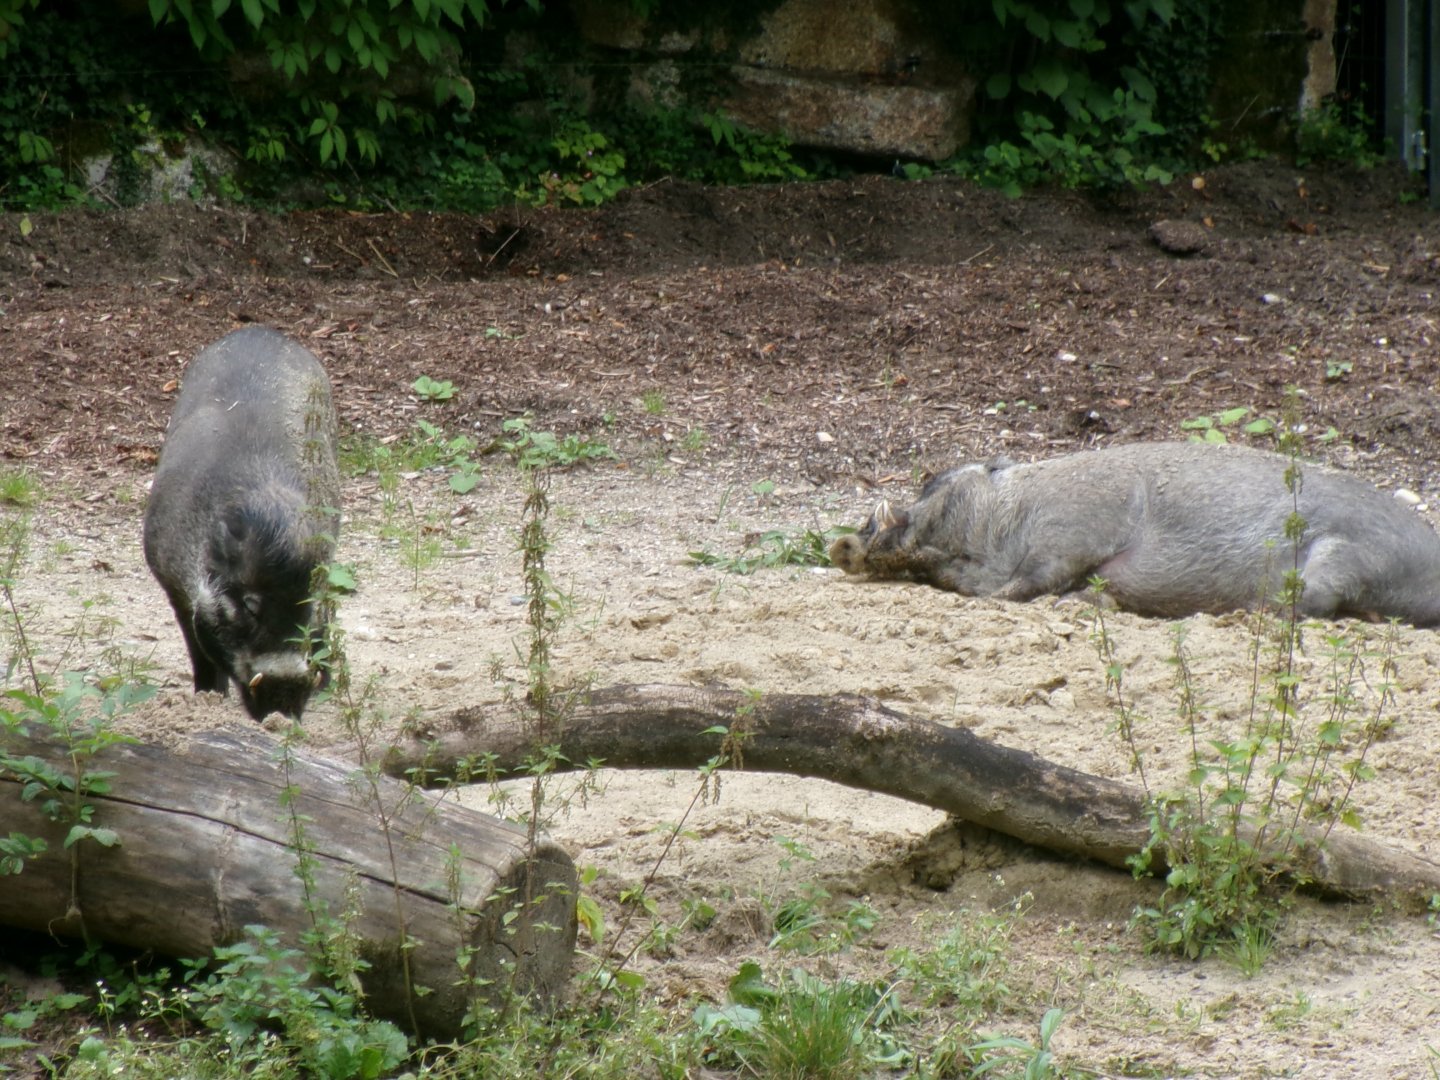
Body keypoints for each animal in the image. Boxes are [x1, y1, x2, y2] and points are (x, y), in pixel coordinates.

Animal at [142, 326, 341, 719]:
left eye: (307, 605)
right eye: (250, 605)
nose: (284, 708)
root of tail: (259, 330)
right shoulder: (176, 589)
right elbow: (200, 652)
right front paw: (208, 699)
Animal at [829, 441, 1440, 626]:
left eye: (931, 481)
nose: (844, 541)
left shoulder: (1070, 530)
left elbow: (1028, 583)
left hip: (1347, 554)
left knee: (1314, 601)